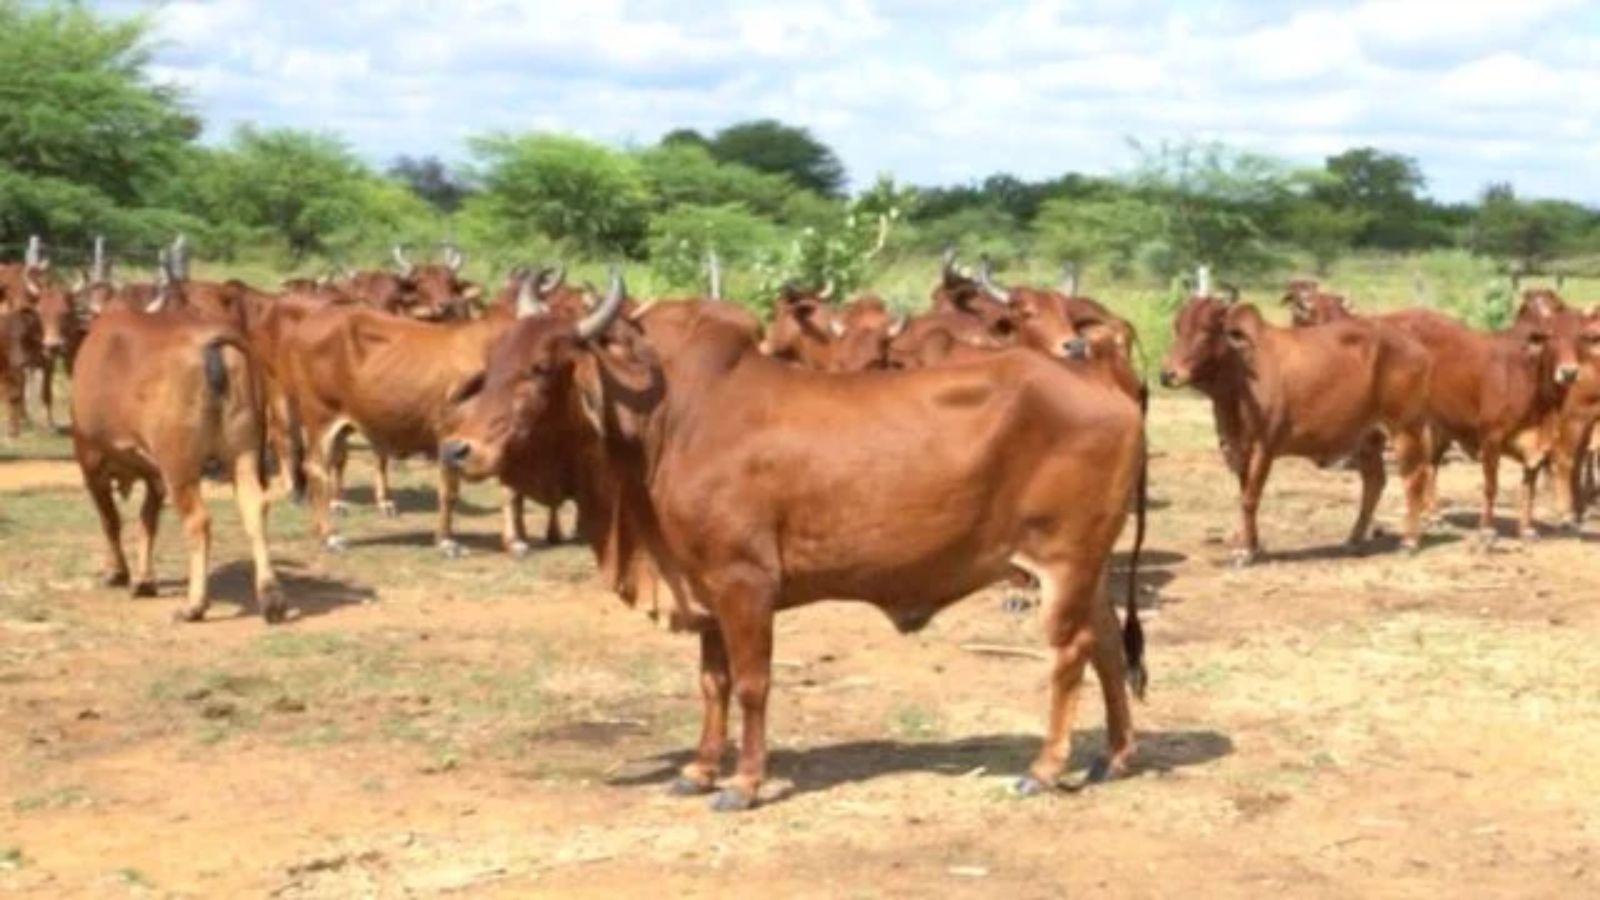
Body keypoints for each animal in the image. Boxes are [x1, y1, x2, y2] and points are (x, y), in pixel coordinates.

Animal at [69, 304, 281, 621]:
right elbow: (147, 522)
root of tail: (211, 340)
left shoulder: (91, 462)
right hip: (243, 454)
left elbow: (111, 521)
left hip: (179, 465)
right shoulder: (155, 476)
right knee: (255, 507)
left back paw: (194, 605)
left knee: (198, 521)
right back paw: (271, 598)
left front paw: (118, 572)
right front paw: (144, 580)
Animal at [444, 269, 1152, 810]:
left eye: (542, 368)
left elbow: (753, 684)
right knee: (1107, 644)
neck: (668, 419)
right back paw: (1116, 757)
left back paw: (1044, 768)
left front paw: (744, 784)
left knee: (1069, 653)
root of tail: (1113, 395)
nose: (457, 449)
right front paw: (698, 770)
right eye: (491, 363)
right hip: (1088, 566)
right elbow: (713, 683)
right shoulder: (703, 584)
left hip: (1064, 560)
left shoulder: (744, 582)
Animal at [1158, 285, 1433, 560]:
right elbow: (1245, 494)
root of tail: (1416, 347)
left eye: (1206, 332)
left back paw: (1409, 542)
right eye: (1178, 328)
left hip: (1405, 428)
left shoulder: (1264, 448)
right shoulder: (1238, 448)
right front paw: (1253, 545)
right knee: (1374, 483)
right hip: (1368, 438)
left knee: (1415, 478)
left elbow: (1250, 497)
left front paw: (1244, 551)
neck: (1241, 375)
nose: (1168, 375)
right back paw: (1353, 540)